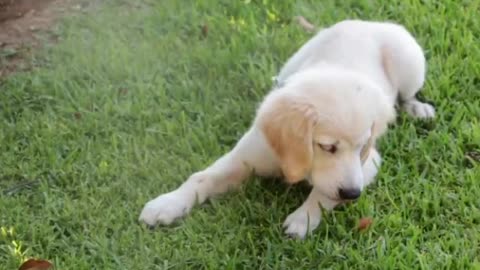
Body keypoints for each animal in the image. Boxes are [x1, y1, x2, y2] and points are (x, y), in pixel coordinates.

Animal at [138, 19, 436, 238]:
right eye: (327, 146)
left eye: (363, 147)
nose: (353, 195)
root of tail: (365, 22)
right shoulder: (247, 154)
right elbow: (201, 177)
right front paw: (167, 203)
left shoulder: (368, 163)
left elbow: (323, 193)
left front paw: (303, 218)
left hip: (409, 61)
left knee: (408, 95)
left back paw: (417, 109)